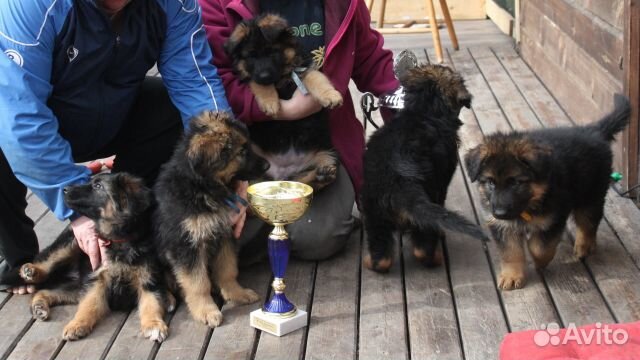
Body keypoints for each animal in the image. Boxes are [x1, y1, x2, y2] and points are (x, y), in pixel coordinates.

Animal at [0, 174, 172, 344]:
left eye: (98, 186)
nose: (64, 189)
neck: (119, 240)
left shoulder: (148, 278)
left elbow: (152, 304)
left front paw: (154, 325)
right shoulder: (95, 278)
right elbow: (88, 305)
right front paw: (77, 325)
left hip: (76, 286)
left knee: (44, 291)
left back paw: (39, 306)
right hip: (71, 245)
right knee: (46, 263)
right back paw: (31, 271)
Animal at [154, 111, 270, 328]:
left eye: (248, 145)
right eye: (242, 151)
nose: (268, 165)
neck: (203, 188)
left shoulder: (223, 233)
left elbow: (227, 269)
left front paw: (237, 293)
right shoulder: (187, 245)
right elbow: (198, 283)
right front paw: (206, 311)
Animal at [226, 13, 344, 191]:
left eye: (273, 52)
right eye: (251, 56)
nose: (265, 76)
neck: (281, 79)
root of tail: (280, 175)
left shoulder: (303, 71)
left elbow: (317, 78)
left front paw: (331, 96)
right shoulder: (251, 78)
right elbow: (258, 84)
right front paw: (269, 103)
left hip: (328, 154)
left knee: (303, 181)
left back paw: (321, 175)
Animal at [358, 65, 488, 272]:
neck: (423, 111)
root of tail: (399, 181)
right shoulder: (443, 182)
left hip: (374, 212)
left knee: (382, 257)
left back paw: (371, 262)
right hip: (426, 205)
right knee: (422, 248)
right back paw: (436, 256)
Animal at [462, 94, 632, 292]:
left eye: (516, 183)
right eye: (490, 182)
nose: (500, 213)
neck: (529, 205)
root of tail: (593, 130)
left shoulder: (553, 218)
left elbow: (539, 247)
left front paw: (539, 261)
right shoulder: (502, 226)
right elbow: (511, 252)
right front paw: (512, 275)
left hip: (591, 195)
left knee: (588, 223)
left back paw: (584, 246)